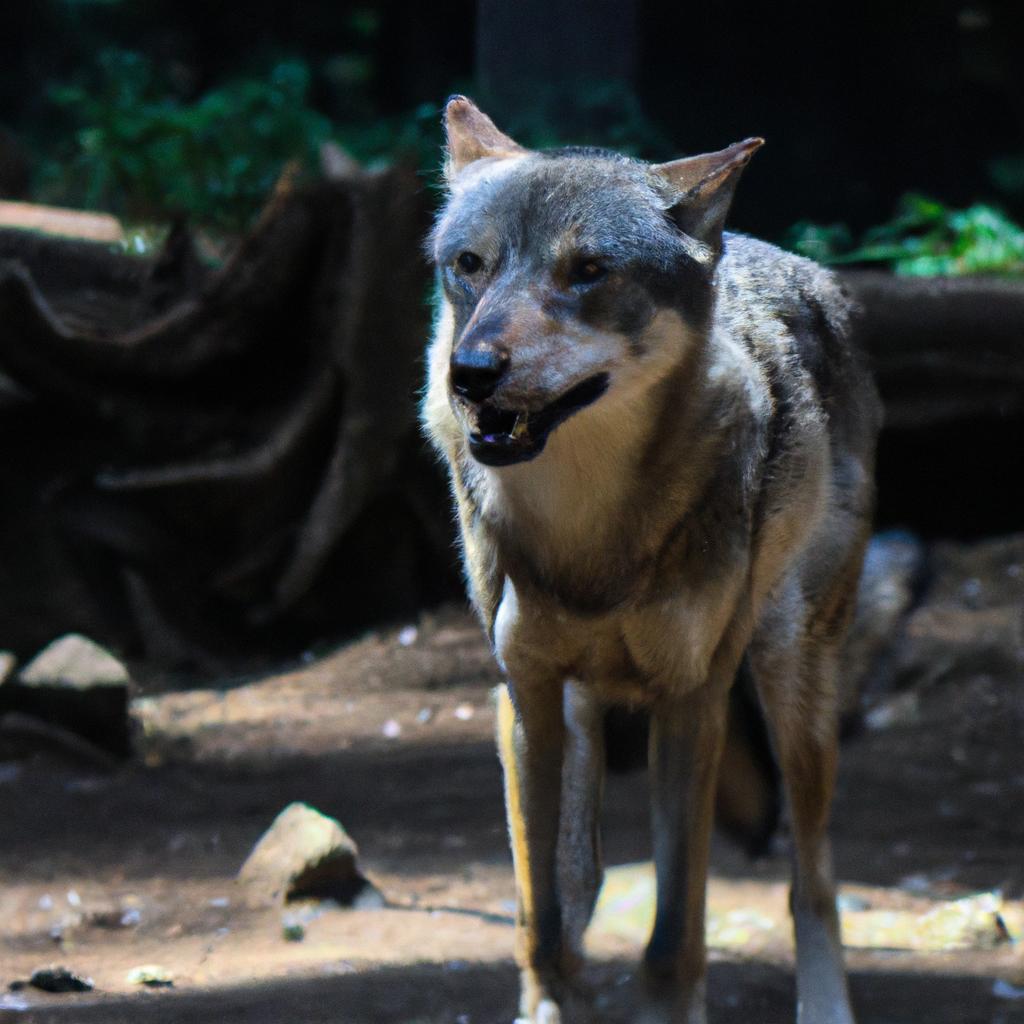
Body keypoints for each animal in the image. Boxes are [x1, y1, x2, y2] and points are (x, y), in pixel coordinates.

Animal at [419, 96, 884, 1024]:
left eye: (588, 271)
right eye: (470, 265)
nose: (471, 372)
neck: (589, 535)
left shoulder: (691, 700)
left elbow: (677, 934)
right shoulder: (524, 698)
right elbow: (537, 916)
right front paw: (550, 1000)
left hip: (793, 685)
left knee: (811, 881)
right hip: (571, 715)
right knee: (577, 875)